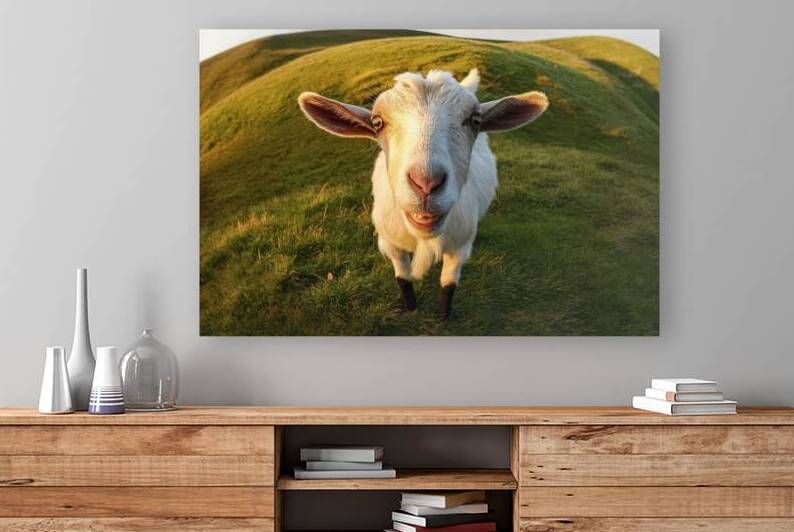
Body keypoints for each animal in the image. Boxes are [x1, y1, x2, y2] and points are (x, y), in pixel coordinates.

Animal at [298, 69, 548, 319]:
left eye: (474, 121)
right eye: (377, 122)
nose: (426, 183)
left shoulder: (460, 246)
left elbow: (448, 283)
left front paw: (443, 316)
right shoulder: (390, 244)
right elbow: (402, 277)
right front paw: (410, 306)